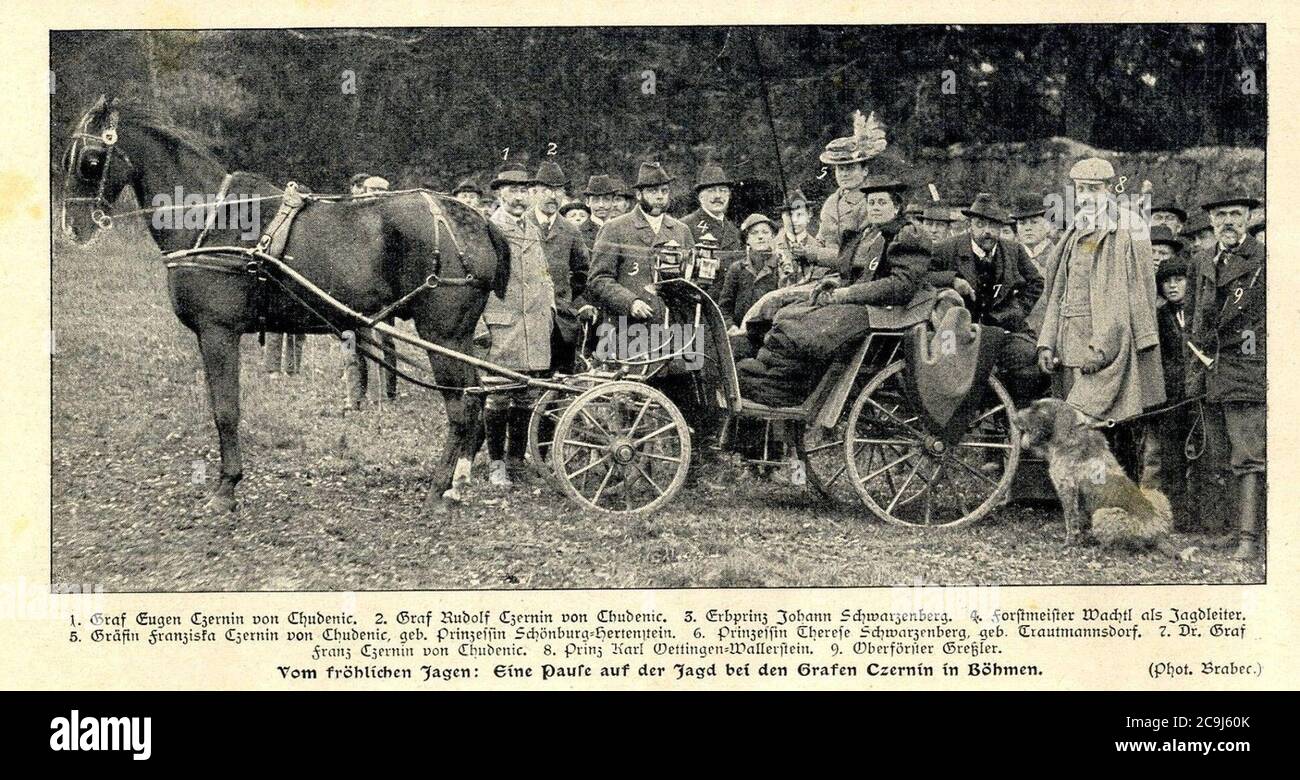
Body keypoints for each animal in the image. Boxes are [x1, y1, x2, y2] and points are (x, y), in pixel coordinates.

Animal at [59, 94, 506, 514]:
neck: (208, 219)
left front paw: (226, 488)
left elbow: (226, 410)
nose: (72, 229)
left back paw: (438, 489)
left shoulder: (218, 332)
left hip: (442, 334)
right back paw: (457, 483)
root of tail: (477, 221)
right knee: (477, 397)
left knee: (461, 407)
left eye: (90, 162)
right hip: (457, 336)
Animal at [1013, 400, 1180, 551]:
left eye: (1037, 410)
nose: (1014, 419)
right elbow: (1078, 518)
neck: (1070, 433)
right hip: (1155, 495)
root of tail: (1158, 535)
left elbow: (1070, 519)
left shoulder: (1068, 490)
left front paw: (1069, 542)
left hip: (1102, 514)